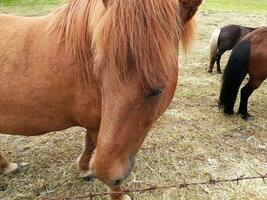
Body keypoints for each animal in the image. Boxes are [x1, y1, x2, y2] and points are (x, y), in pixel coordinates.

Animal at [0, 0, 203, 200]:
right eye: (98, 75)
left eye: (158, 90)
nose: (106, 174)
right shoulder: (98, 126)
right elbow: (95, 145)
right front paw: (117, 195)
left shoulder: (97, 124)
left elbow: (90, 144)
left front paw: (84, 168)